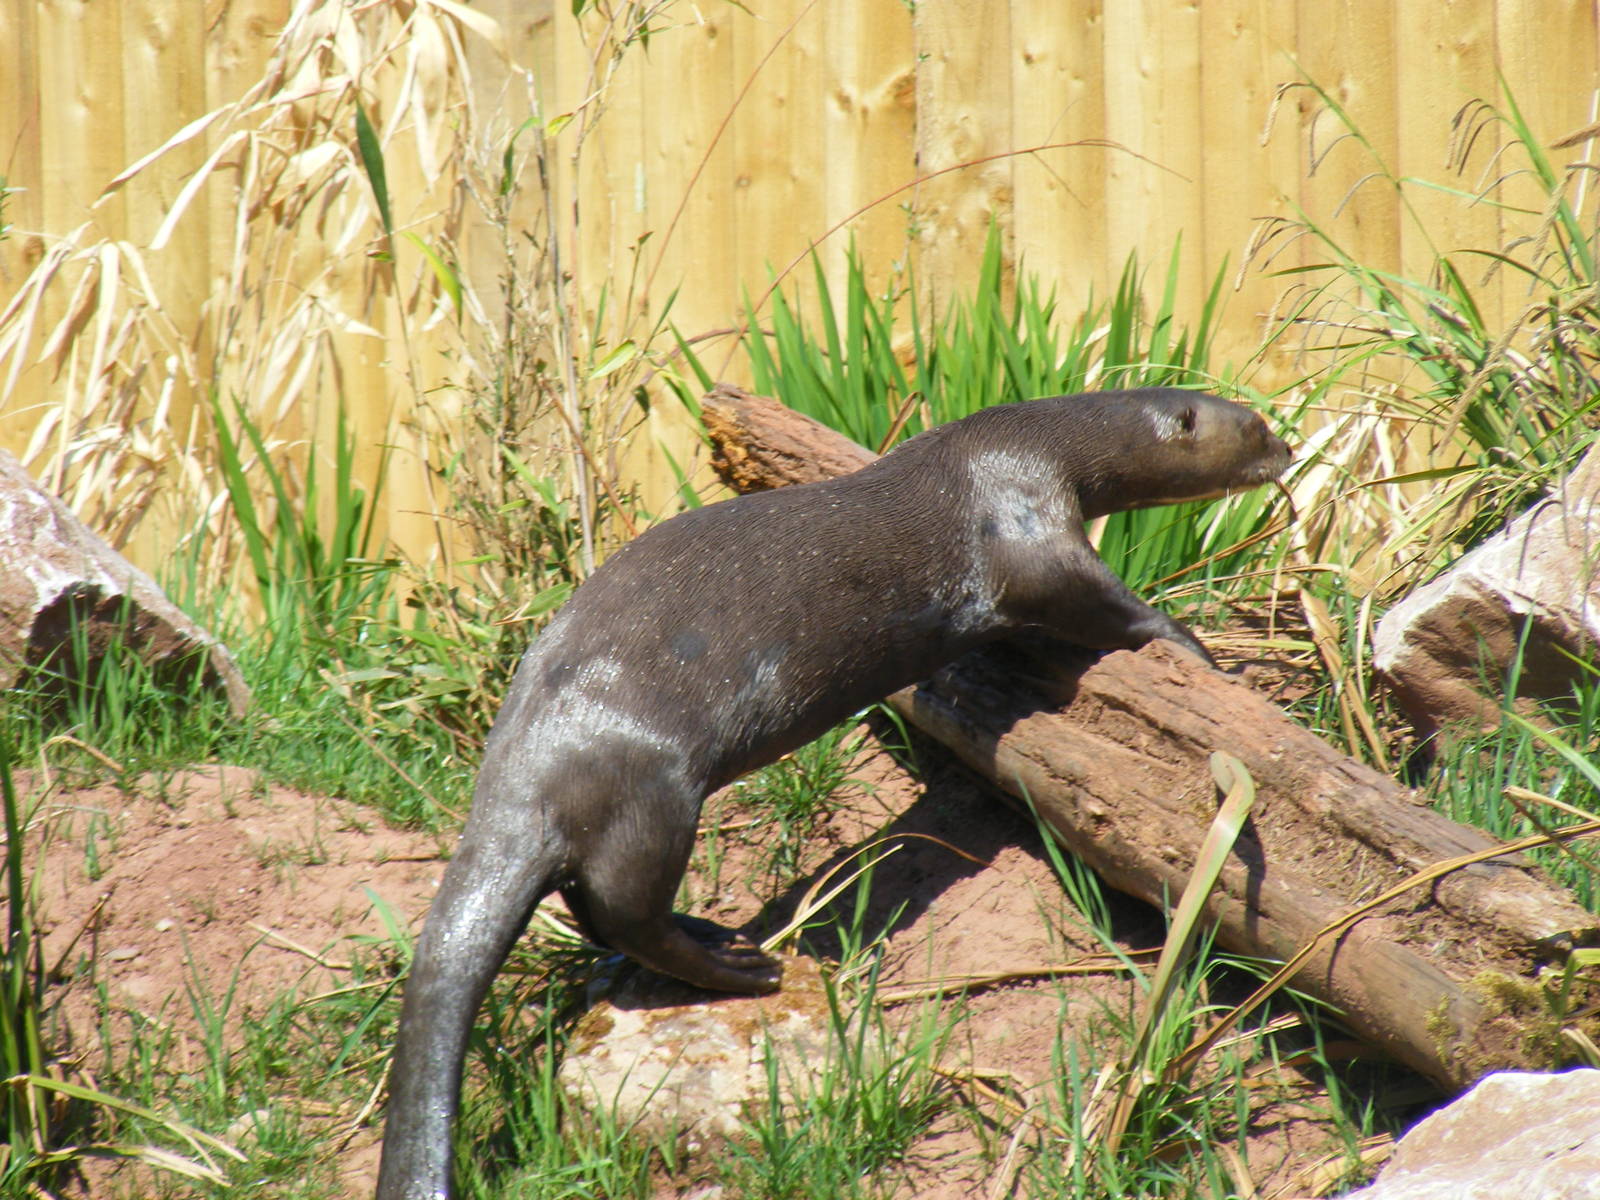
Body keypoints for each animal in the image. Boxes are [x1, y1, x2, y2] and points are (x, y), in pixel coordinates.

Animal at [376, 387, 1292, 1199]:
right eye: (1255, 425)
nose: (1288, 454)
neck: (1026, 446)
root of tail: (520, 771)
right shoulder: (1024, 526)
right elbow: (1097, 603)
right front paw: (1193, 648)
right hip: (654, 787)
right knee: (626, 908)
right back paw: (737, 965)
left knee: (597, 909)